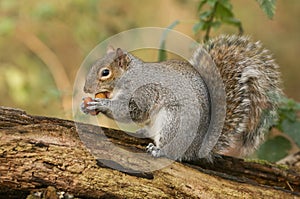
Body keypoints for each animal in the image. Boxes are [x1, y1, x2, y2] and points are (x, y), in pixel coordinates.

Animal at [81, 35, 282, 161]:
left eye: (105, 73)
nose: (85, 88)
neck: (129, 75)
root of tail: (198, 148)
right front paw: (86, 106)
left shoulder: (144, 91)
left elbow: (132, 111)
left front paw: (101, 104)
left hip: (173, 121)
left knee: (173, 152)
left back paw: (159, 151)